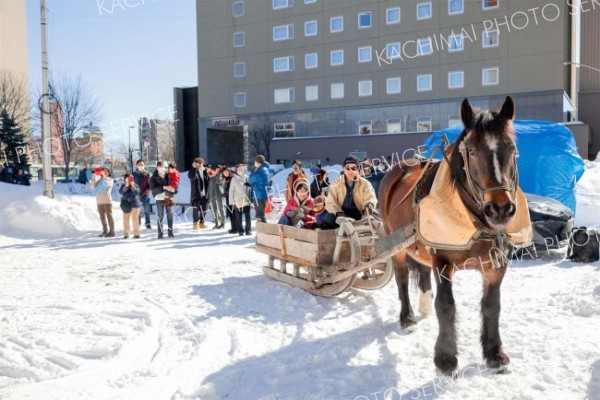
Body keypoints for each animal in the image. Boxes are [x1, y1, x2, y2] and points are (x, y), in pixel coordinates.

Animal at [380, 96, 528, 376]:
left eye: (512, 149)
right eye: (471, 150)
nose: (500, 209)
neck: (473, 221)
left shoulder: (496, 264)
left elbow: (492, 304)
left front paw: (494, 354)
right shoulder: (442, 261)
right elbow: (446, 305)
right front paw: (446, 359)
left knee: (421, 270)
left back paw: (423, 305)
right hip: (397, 247)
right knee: (402, 278)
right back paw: (408, 318)